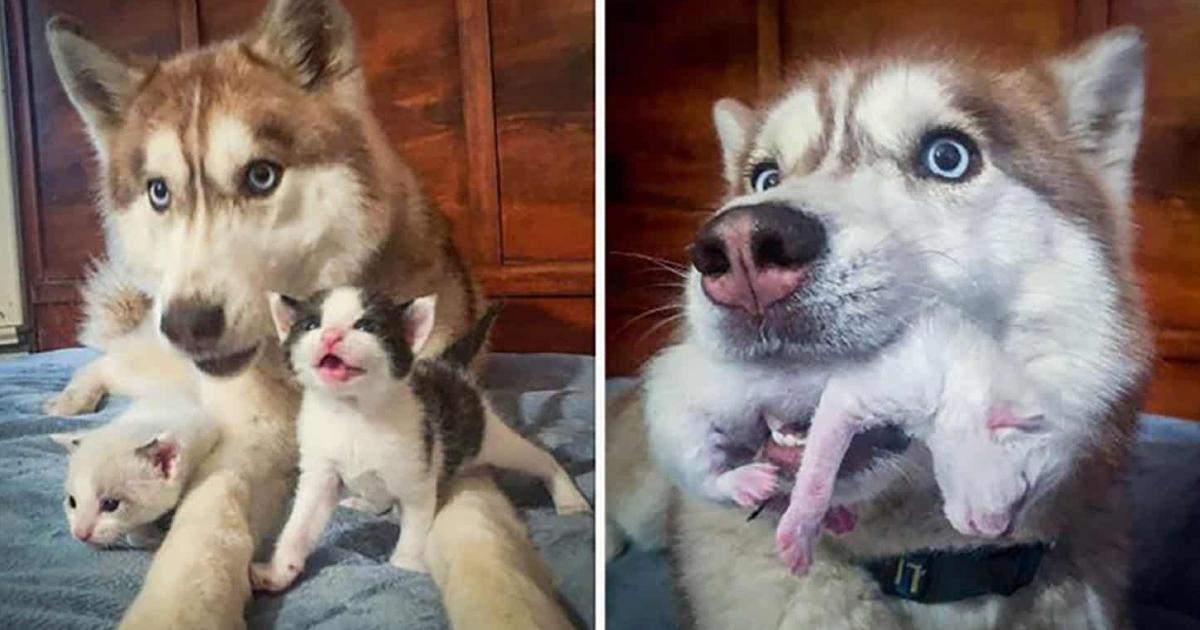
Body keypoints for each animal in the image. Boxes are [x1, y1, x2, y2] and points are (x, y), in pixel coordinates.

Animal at [253, 286, 590, 592]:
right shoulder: (320, 472)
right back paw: (364, 502)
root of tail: (448, 366)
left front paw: (405, 567)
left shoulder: (417, 474)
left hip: (486, 437)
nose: (331, 336)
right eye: (311, 325)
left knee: (541, 458)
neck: (353, 413)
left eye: (367, 326)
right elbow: (299, 524)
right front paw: (279, 570)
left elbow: (414, 527)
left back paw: (569, 499)